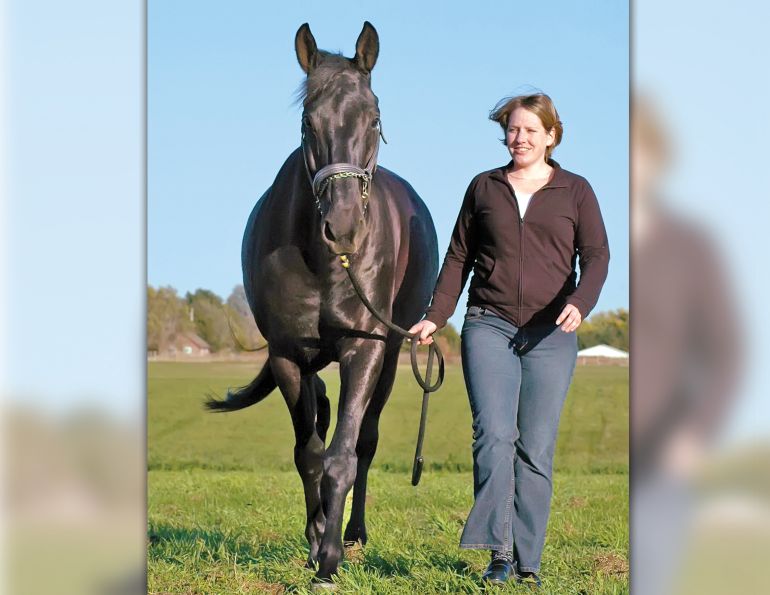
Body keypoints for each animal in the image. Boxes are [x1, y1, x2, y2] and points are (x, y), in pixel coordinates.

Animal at [206, 21, 439, 584]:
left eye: (374, 117)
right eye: (307, 121)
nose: (344, 227)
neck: (325, 262)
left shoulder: (365, 348)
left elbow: (343, 455)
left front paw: (330, 557)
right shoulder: (288, 355)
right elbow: (309, 452)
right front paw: (314, 541)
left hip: (392, 356)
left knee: (365, 440)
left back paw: (353, 534)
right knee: (321, 414)